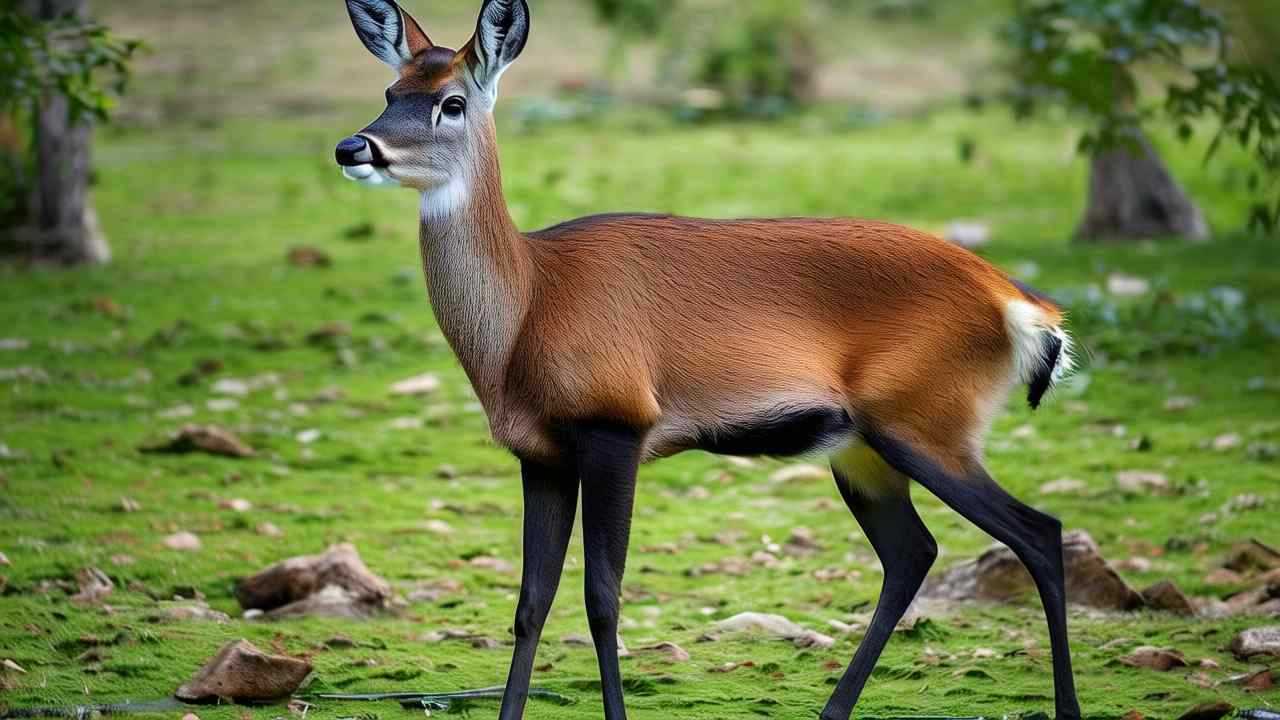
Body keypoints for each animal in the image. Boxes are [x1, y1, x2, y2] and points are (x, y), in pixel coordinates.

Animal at [335, 1, 1085, 717]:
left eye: (452, 101)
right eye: (390, 89)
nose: (353, 146)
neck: (527, 312)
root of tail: (1023, 306)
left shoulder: (617, 421)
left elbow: (602, 596)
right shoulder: (539, 452)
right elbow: (530, 603)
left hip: (925, 422)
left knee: (1038, 533)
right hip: (863, 447)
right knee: (913, 553)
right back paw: (833, 708)